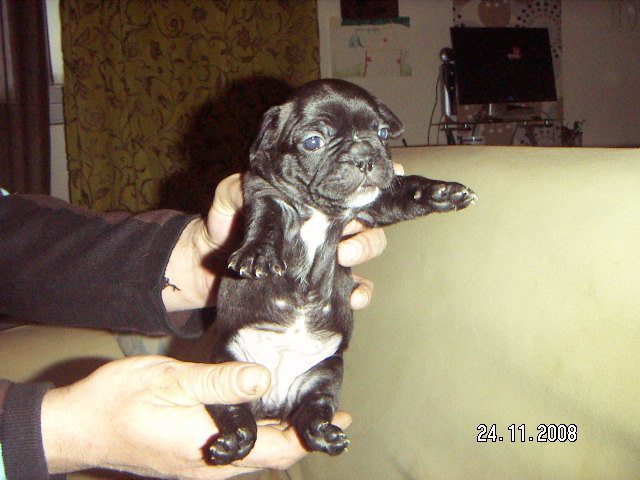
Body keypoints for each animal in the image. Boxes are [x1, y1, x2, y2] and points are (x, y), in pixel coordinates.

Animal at [205, 79, 476, 465]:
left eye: (381, 133)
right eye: (313, 142)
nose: (365, 157)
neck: (322, 210)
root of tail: (273, 405)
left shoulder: (374, 203)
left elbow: (406, 191)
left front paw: (442, 191)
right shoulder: (263, 192)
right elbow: (265, 219)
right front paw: (257, 254)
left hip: (326, 371)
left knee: (314, 407)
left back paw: (321, 432)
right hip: (225, 365)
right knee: (232, 410)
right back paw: (234, 440)